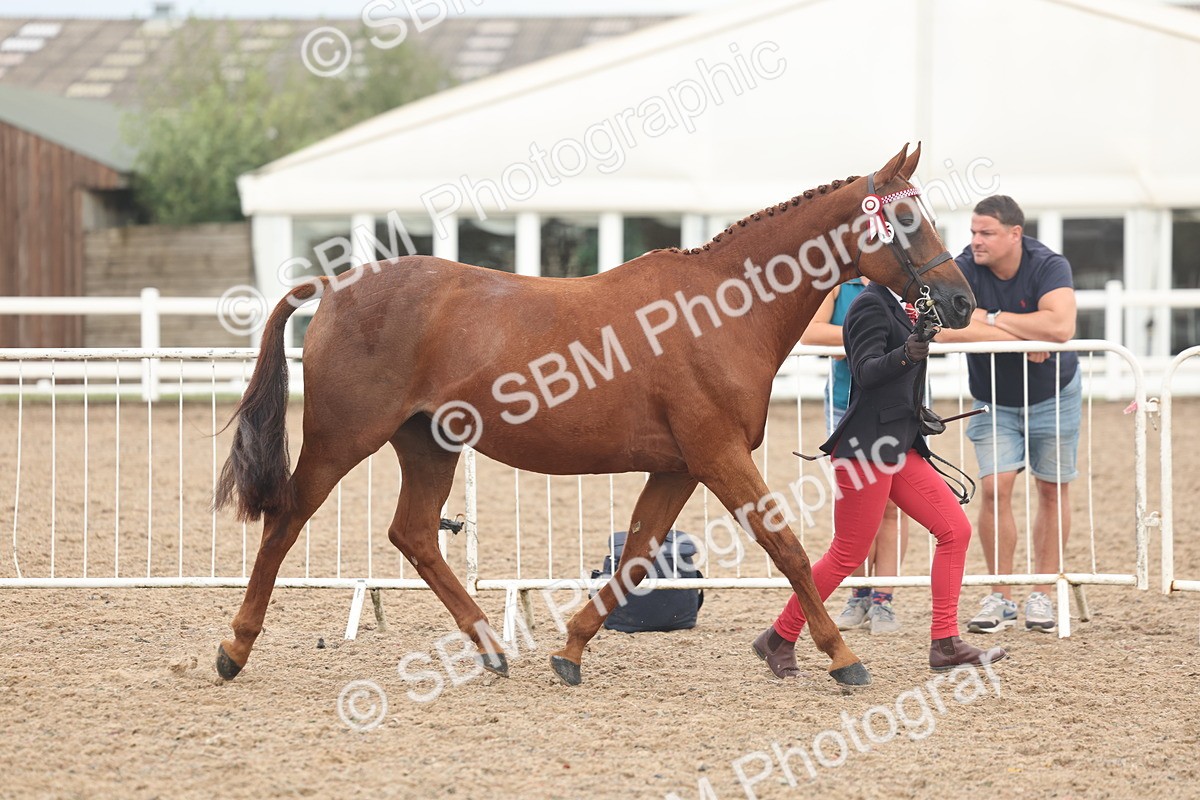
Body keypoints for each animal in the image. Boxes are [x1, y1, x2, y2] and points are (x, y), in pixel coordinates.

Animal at [212, 142, 975, 688]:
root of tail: (336, 286)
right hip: (343, 440)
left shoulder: (679, 467)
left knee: (415, 535)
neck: (722, 308)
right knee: (287, 521)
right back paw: (234, 648)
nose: (960, 301)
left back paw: (491, 647)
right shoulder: (719, 455)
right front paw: (842, 657)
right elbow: (785, 547)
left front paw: (571, 650)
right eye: (908, 218)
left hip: (428, 445)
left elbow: (637, 555)